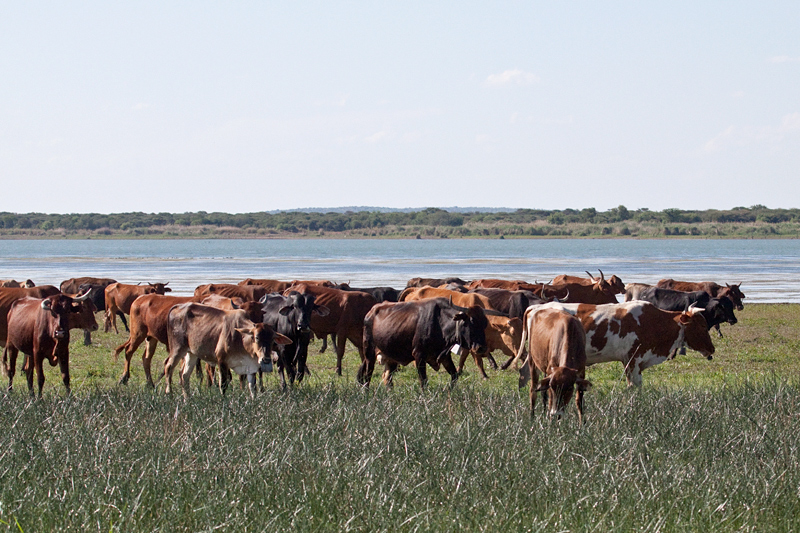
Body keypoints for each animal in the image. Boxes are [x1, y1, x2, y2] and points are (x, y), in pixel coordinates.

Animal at [162, 302, 290, 396]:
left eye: (272, 339)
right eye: (257, 337)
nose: (266, 359)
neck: (241, 340)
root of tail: (178, 306)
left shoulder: (250, 367)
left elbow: (252, 387)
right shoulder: (222, 361)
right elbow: (223, 385)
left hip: (191, 353)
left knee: (184, 375)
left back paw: (187, 400)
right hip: (177, 349)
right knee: (168, 367)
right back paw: (169, 394)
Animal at [358, 298, 494, 388]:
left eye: (484, 324)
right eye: (471, 322)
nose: (481, 348)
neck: (440, 324)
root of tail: (371, 312)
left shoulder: (444, 356)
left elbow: (454, 376)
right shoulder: (419, 356)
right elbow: (423, 381)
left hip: (391, 359)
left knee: (387, 378)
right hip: (369, 353)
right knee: (367, 376)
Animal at [506, 302, 712, 384]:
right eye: (702, 325)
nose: (712, 348)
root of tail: (537, 307)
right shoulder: (633, 360)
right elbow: (634, 385)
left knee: (524, 372)